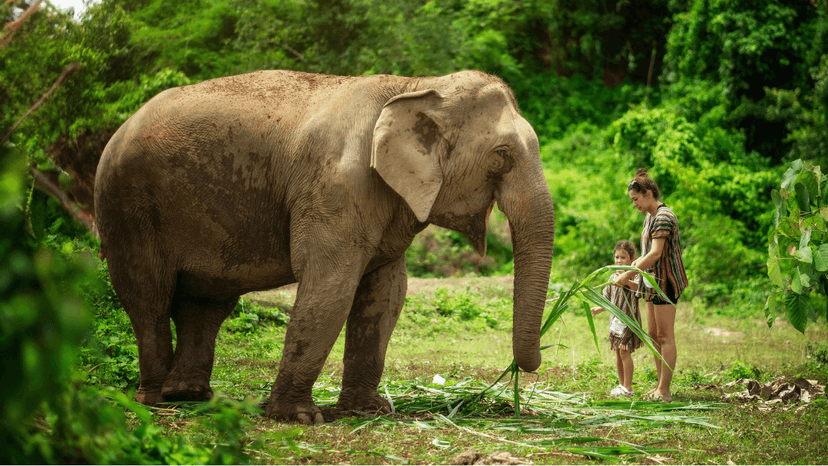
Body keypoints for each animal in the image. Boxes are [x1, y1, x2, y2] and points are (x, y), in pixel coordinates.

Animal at [94, 69, 555, 424]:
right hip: (127, 204)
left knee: (204, 304)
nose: (526, 369)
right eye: (501, 156)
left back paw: (191, 397)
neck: (418, 84)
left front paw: (369, 411)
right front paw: (299, 418)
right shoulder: (336, 186)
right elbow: (330, 285)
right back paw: (156, 400)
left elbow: (386, 292)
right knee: (148, 295)